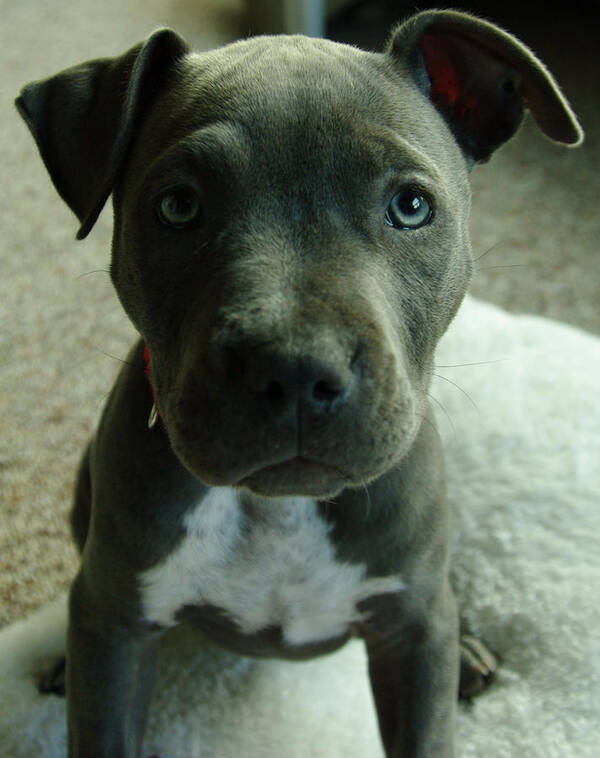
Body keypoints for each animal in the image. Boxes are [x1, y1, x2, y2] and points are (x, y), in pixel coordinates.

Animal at [17, 7, 580, 758]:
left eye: (410, 205)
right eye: (177, 206)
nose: (294, 367)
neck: (276, 508)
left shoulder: (412, 641)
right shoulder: (116, 634)